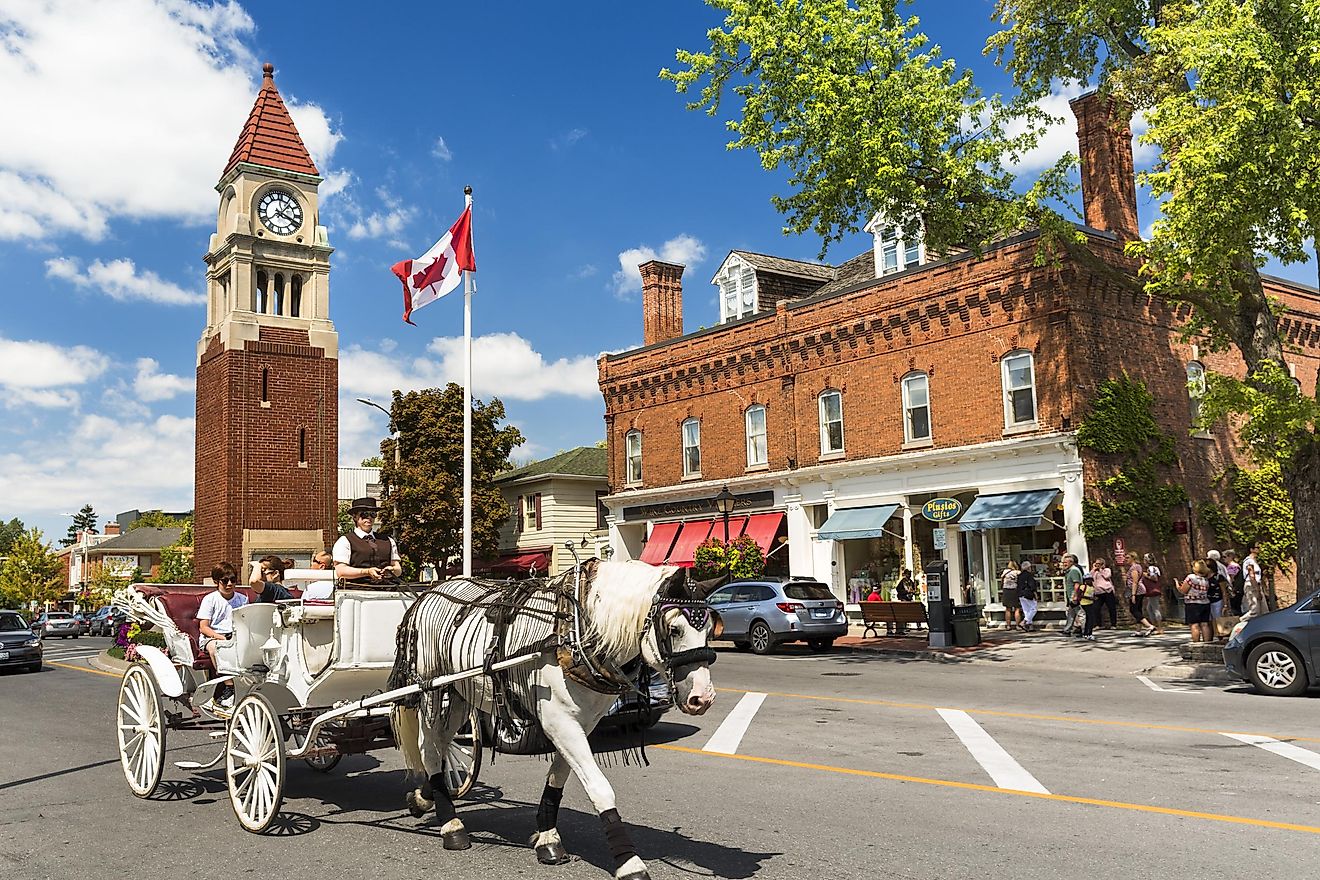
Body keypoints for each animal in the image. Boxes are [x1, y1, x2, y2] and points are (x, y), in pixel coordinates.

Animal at [385, 562, 718, 880]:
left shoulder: (580, 723)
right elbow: (599, 788)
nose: (702, 697)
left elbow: (558, 778)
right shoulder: (559, 720)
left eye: (709, 629)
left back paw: (424, 798)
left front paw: (547, 837)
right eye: (673, 628)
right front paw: (629, 862)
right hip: (431, 689)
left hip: (460, 694)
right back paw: (451, 825)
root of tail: (428, 593)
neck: (576, 633)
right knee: (429, 748)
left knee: (442, 745)